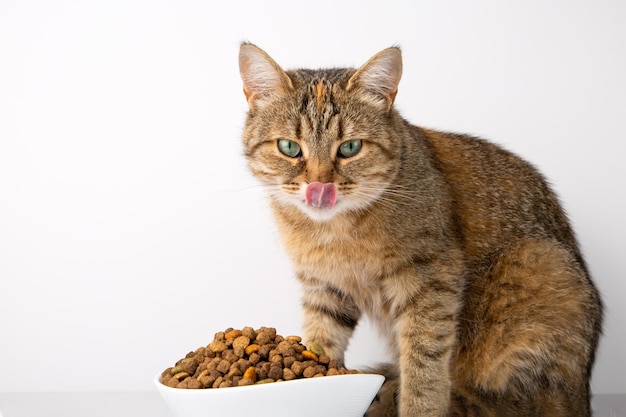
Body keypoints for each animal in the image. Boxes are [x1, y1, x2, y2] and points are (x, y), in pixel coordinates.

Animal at [235, 43, 600, 416]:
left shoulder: (433, 278)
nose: (319, 186)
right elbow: (321, 339)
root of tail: (582, 395)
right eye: (289, 147)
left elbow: (424, 363)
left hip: (538, 265)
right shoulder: (324, 285)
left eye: (350, 147)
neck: (334, 232)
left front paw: (418, 406)